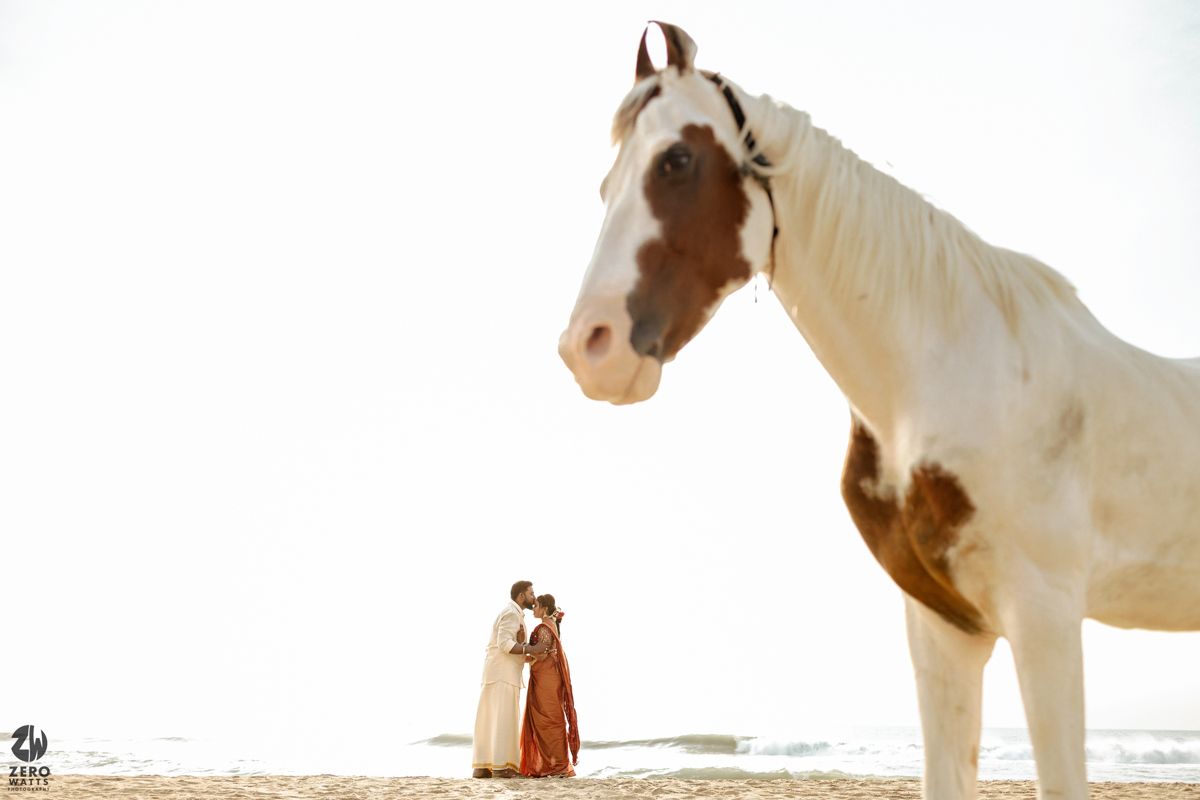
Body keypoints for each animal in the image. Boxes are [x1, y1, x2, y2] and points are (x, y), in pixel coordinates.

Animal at [557, 22, 1200, 800]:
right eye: (606, 185)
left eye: (675, 161)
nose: (588, 347)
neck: (950, 375)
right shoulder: (945, 628)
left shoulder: (1046, 617)